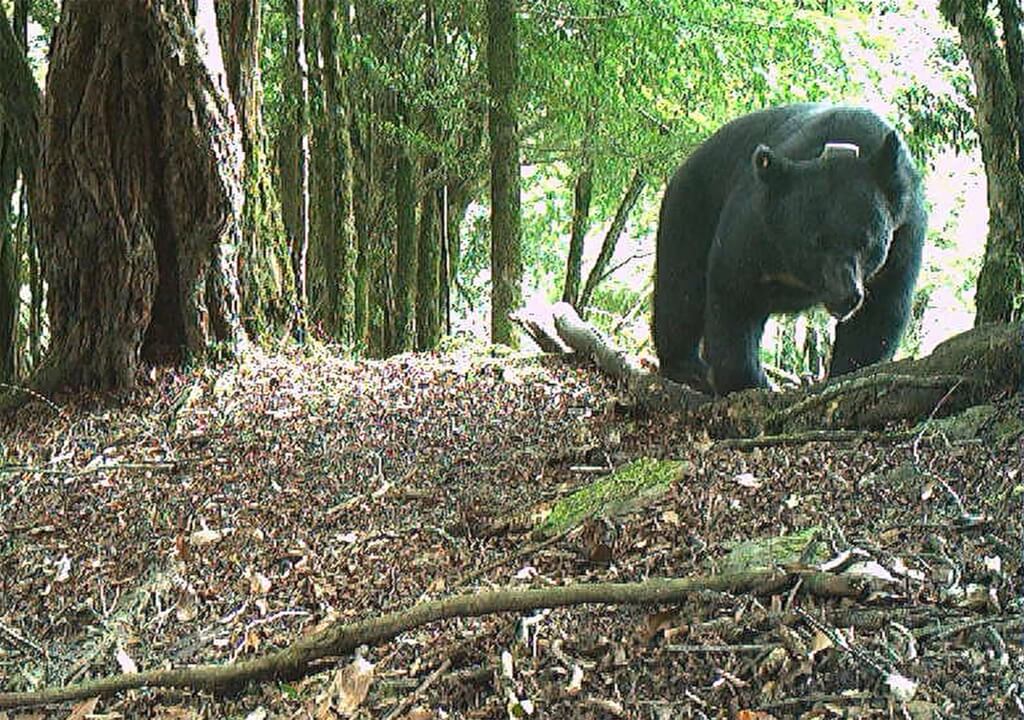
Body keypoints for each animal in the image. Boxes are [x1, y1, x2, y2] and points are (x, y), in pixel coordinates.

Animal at [652, 104, 926, 395]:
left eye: (866, 241)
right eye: (815, 242)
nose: (845, 295)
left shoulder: (903, 236)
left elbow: (877, 315)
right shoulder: (755, 224)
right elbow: (734, 293)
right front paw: (750, 382)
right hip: (692, 205)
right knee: (681, 288)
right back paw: (688, 369)